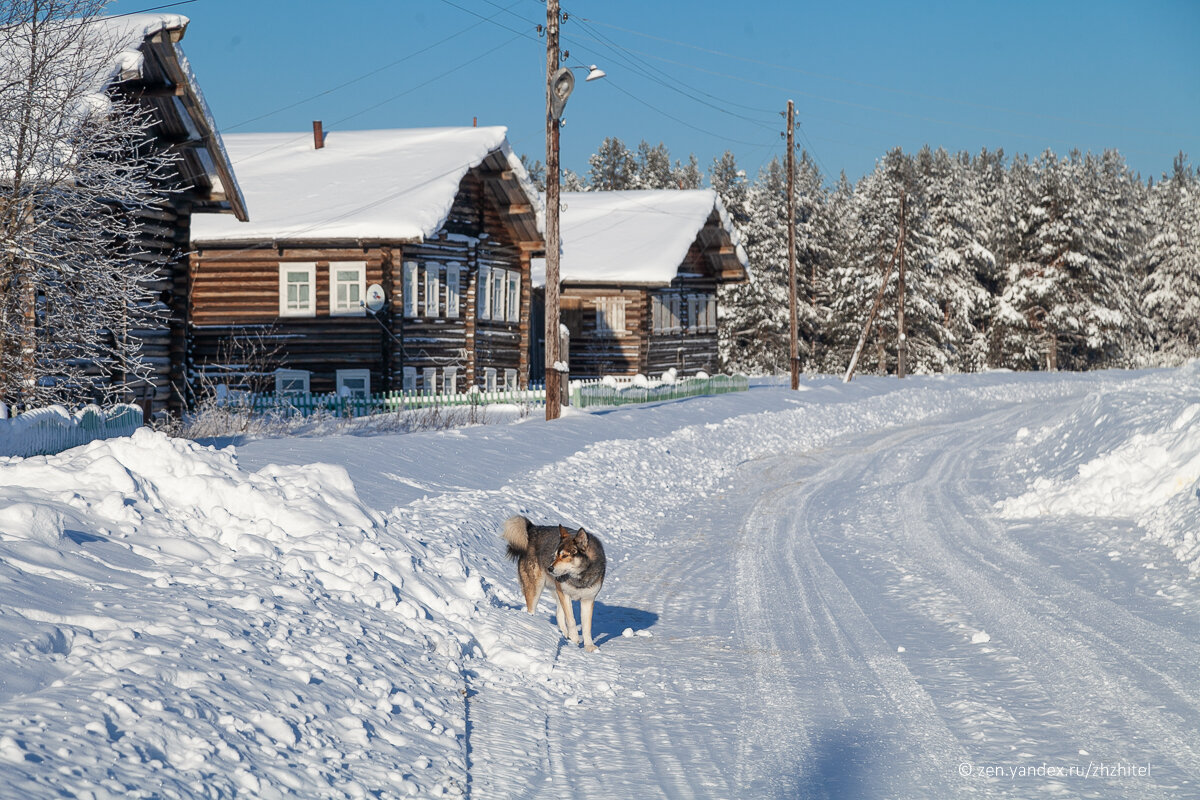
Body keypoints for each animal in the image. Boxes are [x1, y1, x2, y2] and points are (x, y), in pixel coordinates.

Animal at [501, 515, 604, 652]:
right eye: (555, 555)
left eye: (565, 556)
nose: (549, 568)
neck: (579, 577)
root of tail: (532, 529)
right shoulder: (565, 593)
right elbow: (571, 620)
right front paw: (574, 639)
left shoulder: (588, 599)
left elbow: (587, 627)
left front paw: (589, 646)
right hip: (536, 589)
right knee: (532, 609)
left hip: (556, 592)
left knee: (559, 615)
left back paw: (565, 635)